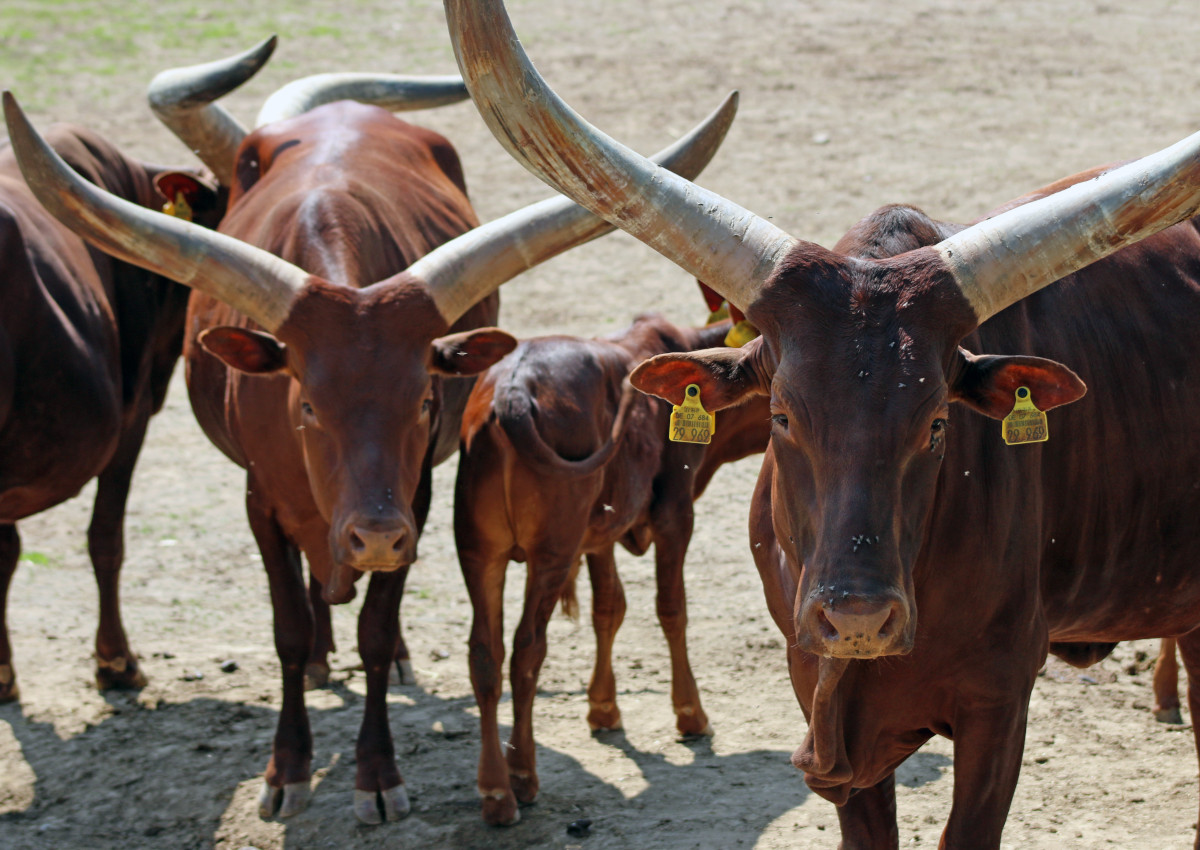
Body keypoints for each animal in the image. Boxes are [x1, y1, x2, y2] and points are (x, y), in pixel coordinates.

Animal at [451, 312, 768, 821]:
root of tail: (511, 390)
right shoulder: (675, 513)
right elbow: (671, 609)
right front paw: (690, 713)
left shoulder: (599, 534)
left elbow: (609, 609)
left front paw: (602, 708)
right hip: (552, 553)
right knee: (527, 650)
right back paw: (521, 776)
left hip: (479, 553)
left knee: (485, 653)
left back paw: (495, 788)